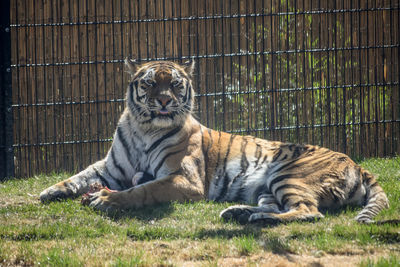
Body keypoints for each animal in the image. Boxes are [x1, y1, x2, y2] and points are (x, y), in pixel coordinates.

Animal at [39, 59, 390, 225]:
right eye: (150, 84)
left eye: (175, 84)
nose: (164, 101)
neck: (144, 128)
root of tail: (356, 163)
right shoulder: (111, 169)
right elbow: (81, 175)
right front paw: (50, 191)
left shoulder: (183, 179)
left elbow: (143, 190)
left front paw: (107, 200)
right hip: (268, 187)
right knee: (280, 206)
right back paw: (238, 214)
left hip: (288, 174)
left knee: (308, 211)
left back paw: (254, 218)